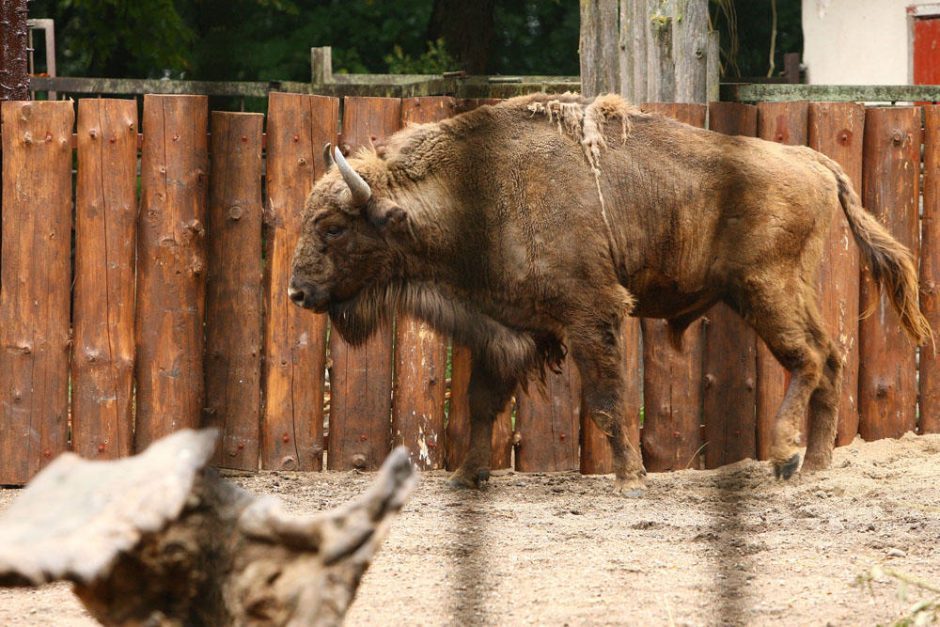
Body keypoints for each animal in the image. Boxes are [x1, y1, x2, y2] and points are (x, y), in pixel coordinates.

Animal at [288, 93, 932, 496]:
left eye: (334, 227)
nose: (297, 291)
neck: (477, 193)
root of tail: (813, 159)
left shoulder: (590, 314)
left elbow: (604, 399)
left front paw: (630, 479)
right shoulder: (506, 331)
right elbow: (482, 404)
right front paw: (465, 478)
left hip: (762, 290)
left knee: (808, 358)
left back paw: (784, 458)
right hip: (789, 288)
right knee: (832, 357)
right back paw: (817, 466)